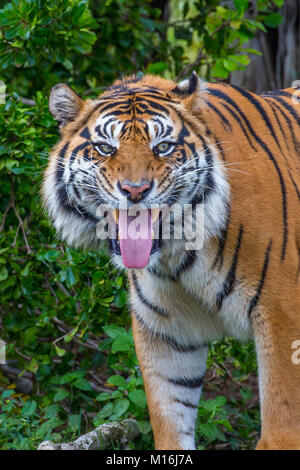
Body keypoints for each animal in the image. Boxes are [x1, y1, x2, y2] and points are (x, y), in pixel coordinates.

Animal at [41, 71, 300, 450]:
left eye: (162, 147)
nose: (135, 190)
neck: (179, 254)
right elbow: (170, 420)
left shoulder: (283, 316)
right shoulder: (166, 331)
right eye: (106, 148)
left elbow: (282, 426)